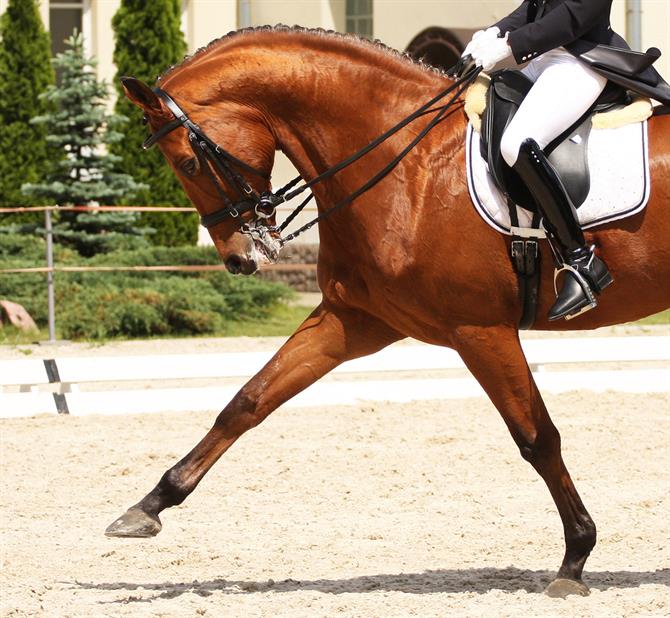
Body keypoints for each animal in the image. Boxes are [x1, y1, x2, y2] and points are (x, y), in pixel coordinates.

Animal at [109, 25, 670, 596]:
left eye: (188, 163)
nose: (240, 259)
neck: (407, 164)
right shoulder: (355, 319)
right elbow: (247, 402)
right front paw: (149, 506)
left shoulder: (480, 330)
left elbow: (537, 438)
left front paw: (575, 557)